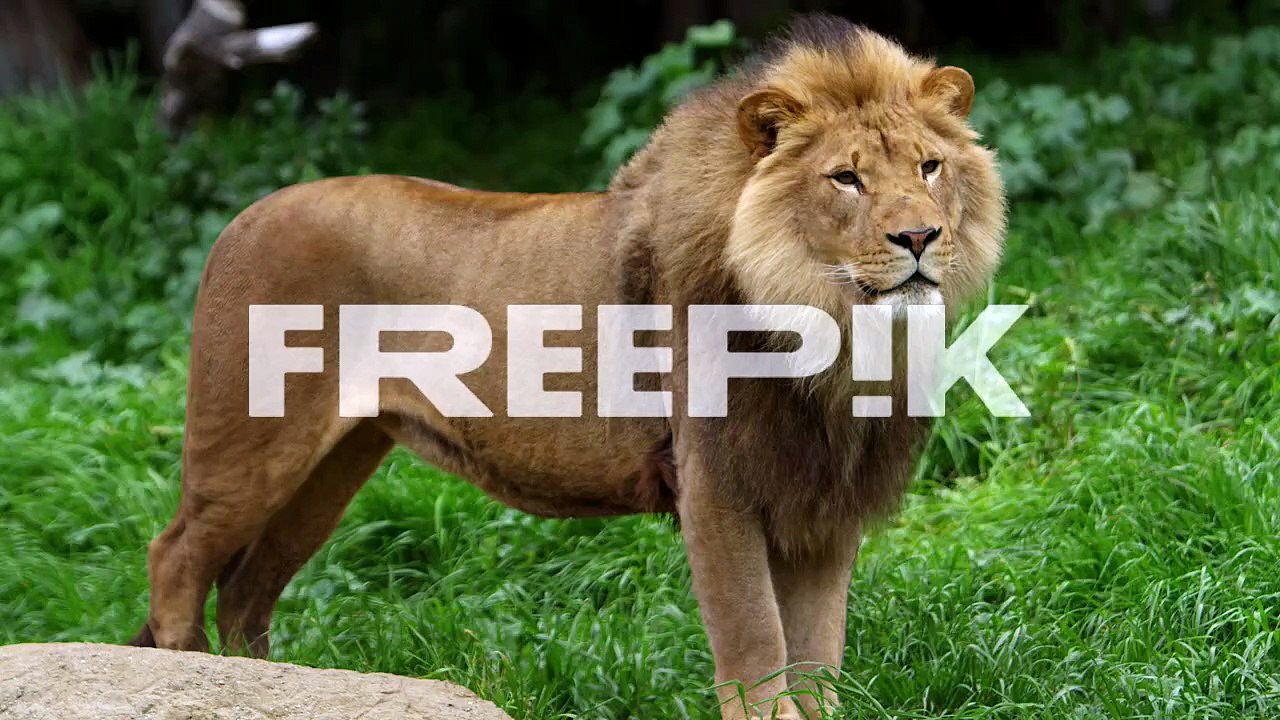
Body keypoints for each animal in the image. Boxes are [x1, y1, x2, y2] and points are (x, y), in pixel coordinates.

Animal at [129, 14, 1005, 720]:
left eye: (928, 167)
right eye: (846, 178)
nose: (919, 237)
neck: (835, 331)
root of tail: (241, 219)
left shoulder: (823, 498)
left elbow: (818, 656)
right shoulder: (715, 484)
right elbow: (757, 647)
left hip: (337, 463)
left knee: (248, 589)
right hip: (251, 441)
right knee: (175, 557)